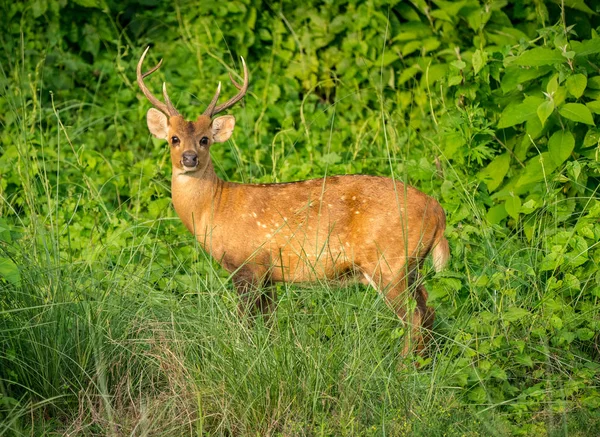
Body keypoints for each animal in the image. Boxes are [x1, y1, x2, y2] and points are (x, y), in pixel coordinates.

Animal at [137, 46, 450, 354]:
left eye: (204, 139)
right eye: (174, 138)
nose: (189, 158)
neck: (215, 208)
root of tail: (438, 211)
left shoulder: (248, 265)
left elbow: (244, 324)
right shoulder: (269, 275)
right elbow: (269, 325)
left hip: (389, 261)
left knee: (414, 316)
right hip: (410, 264)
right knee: (429, 309)